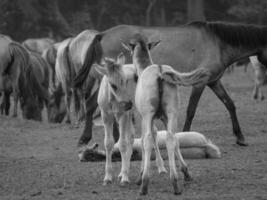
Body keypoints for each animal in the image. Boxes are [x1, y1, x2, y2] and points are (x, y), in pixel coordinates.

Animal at [74, 21, 267, 148]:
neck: (217, 42)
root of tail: (102, 34)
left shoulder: (214, 81)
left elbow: (230, 104)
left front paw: (240, 137)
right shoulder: (200, 83)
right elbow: (191, 111)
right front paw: (185, 135)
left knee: (92, 105)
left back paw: (95, 137)